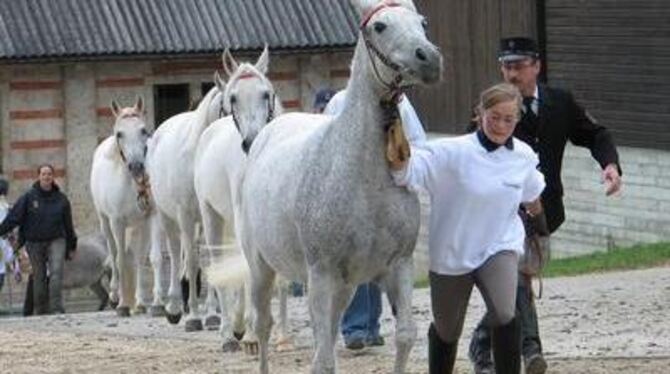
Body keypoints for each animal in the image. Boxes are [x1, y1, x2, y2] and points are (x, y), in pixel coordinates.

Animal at [90, 98, 166, 318]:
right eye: (120, 134)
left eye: (143, 130)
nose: (137, 166)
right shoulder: (117, 222)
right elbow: (121, 260)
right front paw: (123, 304)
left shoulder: (153, 217)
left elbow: (154, 258)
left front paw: (158, 303)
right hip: (106, 223)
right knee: (115, 253)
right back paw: (116, 295)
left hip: (140, 225)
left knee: (139, 258)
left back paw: (140, 303)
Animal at [146, 73, 224, 330]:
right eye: (227, 105)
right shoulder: (185, 214)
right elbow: (189, 258)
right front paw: (194, 317)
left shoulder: (209, 216)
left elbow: (209, 259)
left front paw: (213, 315)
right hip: (166, 216)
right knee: (174, 250)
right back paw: (174, 307)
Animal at [194, 48, 294, 352]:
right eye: (234, 97)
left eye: (266, 93)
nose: (251, 140)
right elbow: (249, 272)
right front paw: (251, 334)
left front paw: (283, 337)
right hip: (212, 216)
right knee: (219, 263)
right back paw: (230, 333)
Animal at [211, 1, 440, 372]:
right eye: (379, 26)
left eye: (422, 22)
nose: (429, 59)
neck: (361, 176)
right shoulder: (321, 274)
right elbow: (323, 360)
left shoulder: (398, 267)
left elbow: (405, 335)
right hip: (261, 267)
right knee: (263, 325)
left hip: (343, 287)